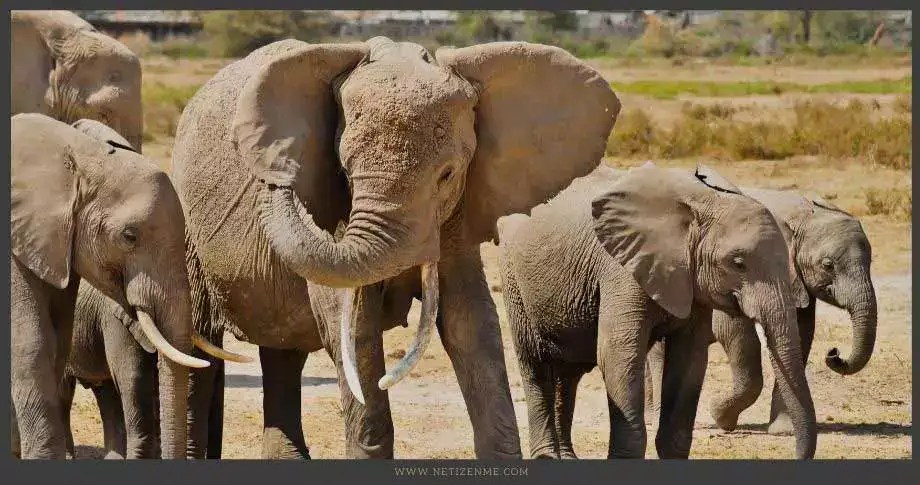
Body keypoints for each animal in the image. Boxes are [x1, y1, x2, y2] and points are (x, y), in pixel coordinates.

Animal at [170, 36, 620, 459]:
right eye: (345, 170)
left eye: (447, 175)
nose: (279, 170)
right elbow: (353, 325)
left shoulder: (458, 214)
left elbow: (470, 320)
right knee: (199, 344)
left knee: (283, 350)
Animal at [496, 163, 817, 459]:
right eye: (738, 263)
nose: (794, 452)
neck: (703, 203)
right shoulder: (621, 270)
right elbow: (618, 355)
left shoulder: (689, 281)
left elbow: (689, 360)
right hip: (514, 281)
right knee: (536, 368)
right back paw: (548, 455)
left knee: (568, 373)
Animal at [646, 188, 876, 435]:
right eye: (827, 265)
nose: (834, 352)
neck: (801, 213)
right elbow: (736, 333)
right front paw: (721, 417)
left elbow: (800, 334)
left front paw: (785, 431)